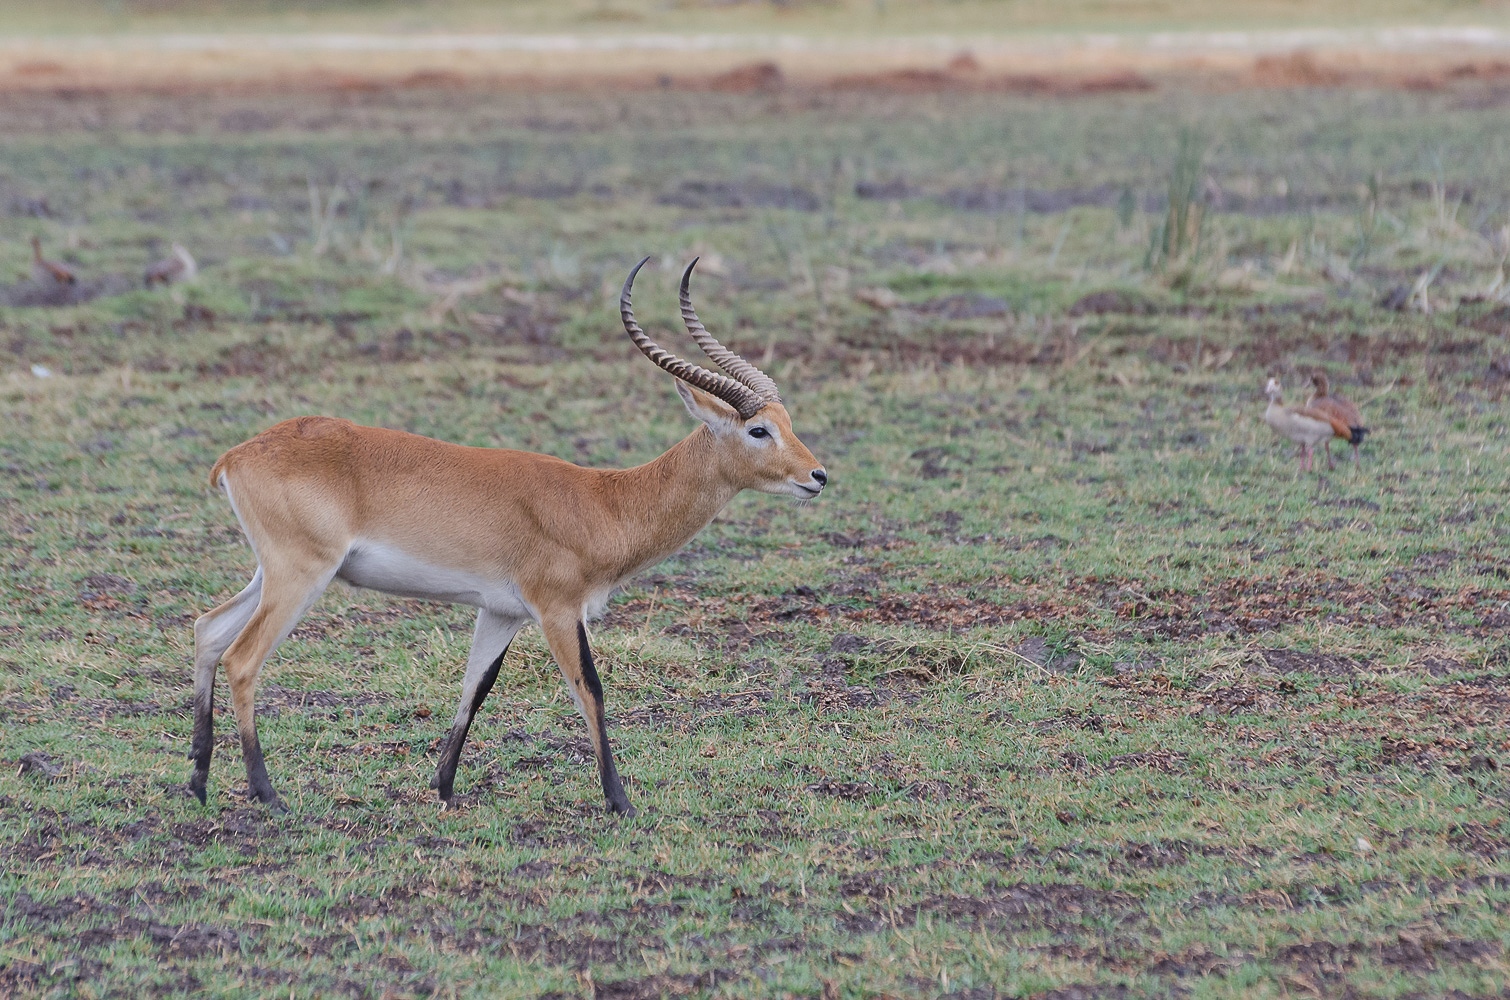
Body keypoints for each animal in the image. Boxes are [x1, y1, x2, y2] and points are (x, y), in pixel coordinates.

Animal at [190, 258, 833, 815]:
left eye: (788, 421)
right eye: (758, 429)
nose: (818, 476)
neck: (604, 501)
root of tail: (237, 454)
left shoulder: (501, 612)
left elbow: (475, 688)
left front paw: (446, 790)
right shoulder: (557, 608)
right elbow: (590, 690)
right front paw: (620, 802)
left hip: (271, 573)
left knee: (208, 630)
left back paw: (197, 782)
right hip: (302, 575)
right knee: (242, 658)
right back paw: (267, 795)